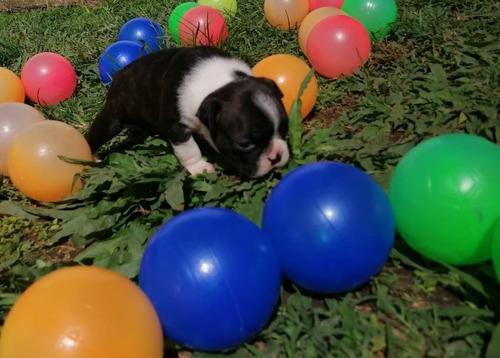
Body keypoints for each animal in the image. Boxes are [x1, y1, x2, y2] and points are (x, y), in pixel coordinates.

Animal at [85, 46, 290, 178]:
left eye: (285, 130)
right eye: (245, 144)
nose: (276, 156)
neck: (220, 84)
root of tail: (118, 76)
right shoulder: (177, 127)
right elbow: (189, 150)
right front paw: (200, 168)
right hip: (112, 118)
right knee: (93, 136)